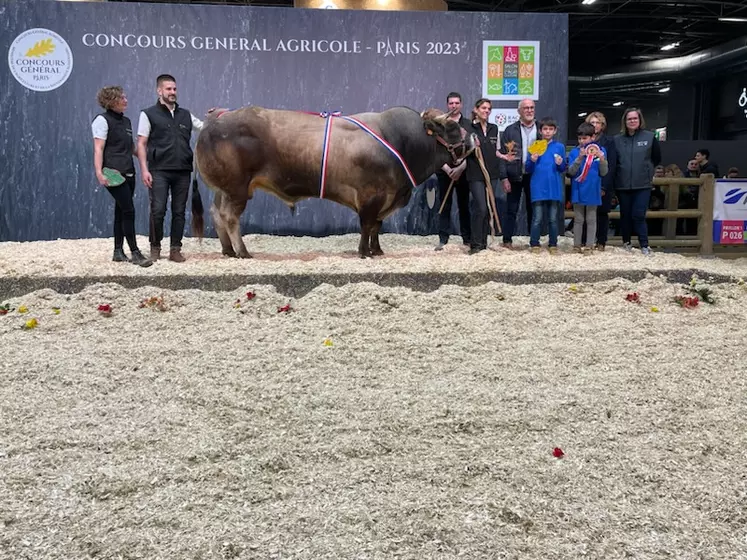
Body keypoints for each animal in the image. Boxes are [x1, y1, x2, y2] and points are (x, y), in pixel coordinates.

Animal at [191, 105, 474, 258]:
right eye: (451, 127)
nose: (473, 139)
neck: (399, 140)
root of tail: (216, 118)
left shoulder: (386, 197)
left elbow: (377, 226)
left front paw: (377, 250)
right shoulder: (371, 195)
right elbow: (367, 224)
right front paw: (364, 252)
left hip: (224, 189)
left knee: (217, 214)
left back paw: (228, 250)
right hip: (237, 189)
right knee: (229, 217)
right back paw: (243, 251)